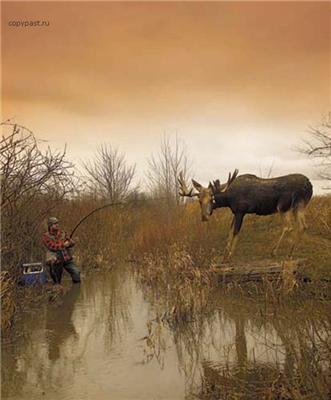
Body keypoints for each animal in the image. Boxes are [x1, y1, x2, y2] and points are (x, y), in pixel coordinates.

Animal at [178, 170, 312, 260]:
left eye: (212, 199)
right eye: (199, 201)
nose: (204, 216)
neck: (228, 198)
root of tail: (309, 185)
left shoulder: (240, 211)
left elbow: (235, 231)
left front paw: (230, 254)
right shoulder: (235, 212)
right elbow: (230, 230)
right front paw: (225, 252)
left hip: (283, 206)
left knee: (288, 226)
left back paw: (274, 251)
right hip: (299, 207)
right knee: (303, 226)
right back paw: (290, 252)